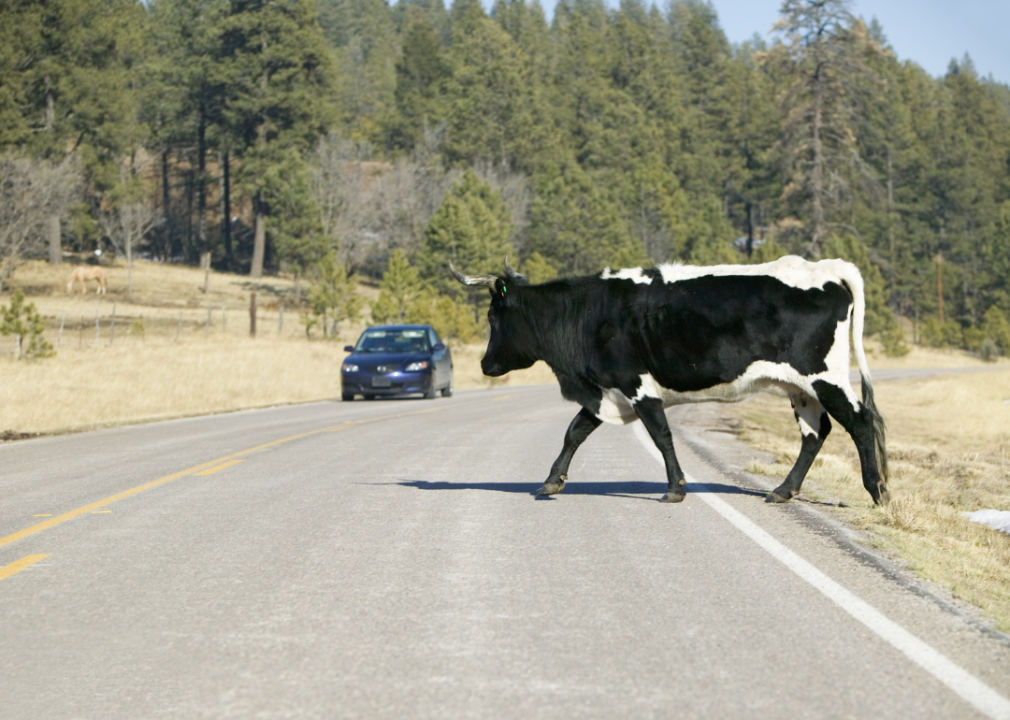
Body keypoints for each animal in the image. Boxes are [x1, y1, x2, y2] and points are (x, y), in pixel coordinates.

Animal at [454, 255, 888, 502]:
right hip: (801, 387)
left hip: (824, 376)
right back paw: (783, 491)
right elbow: (575, 431)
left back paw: (878, 491)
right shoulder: (607, 389)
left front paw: (676, 488)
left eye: (493, 316)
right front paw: (551, 481)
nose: (485, 365)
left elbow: (661, 435)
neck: (588, 313)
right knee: (816, 433)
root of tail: (825, 267)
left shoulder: (636, 385)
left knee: (860, 421)